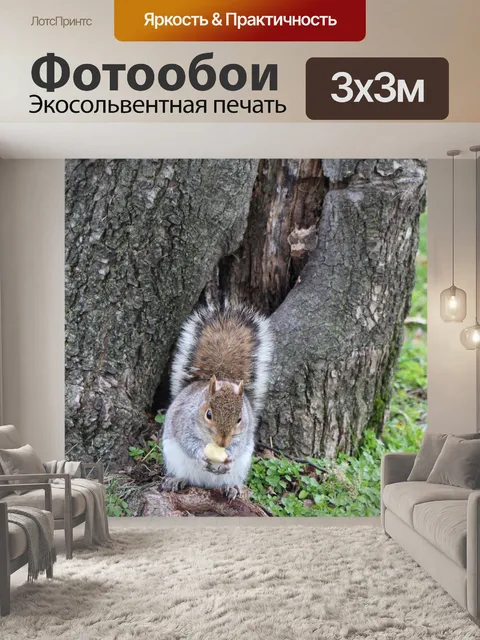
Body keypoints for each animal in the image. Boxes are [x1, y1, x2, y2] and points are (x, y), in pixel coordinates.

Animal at [161, 302, 273, 500]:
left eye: (239, 418)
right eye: (208, 414)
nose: (222, 443)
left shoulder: (243, 435)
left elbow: (237, 446)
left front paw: (229, 456)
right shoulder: (184, 422)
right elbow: (188, 442)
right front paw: (201, 455)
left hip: (239, 469)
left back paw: (232, 487)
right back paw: (176, 480)